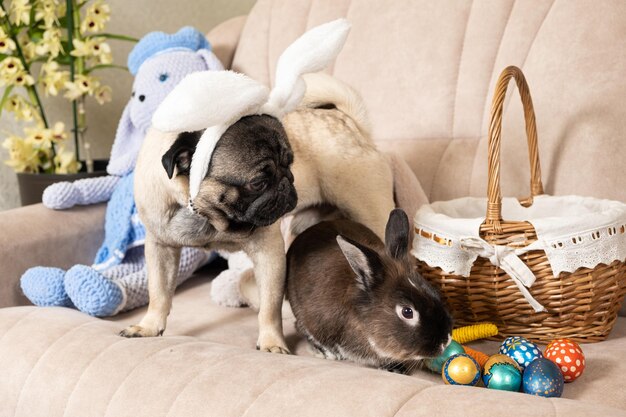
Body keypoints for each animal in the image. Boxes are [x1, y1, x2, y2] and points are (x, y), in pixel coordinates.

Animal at [119, 17, 392, 352]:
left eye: (290, 163)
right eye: (259, 182)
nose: (287, 182)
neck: (206, 215)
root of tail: (349, 123)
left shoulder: (270, 252)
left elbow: (270, 305)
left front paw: (272, 342)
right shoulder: (160, 248)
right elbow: (159, 293)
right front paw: (149, 326)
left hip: (372, 212)